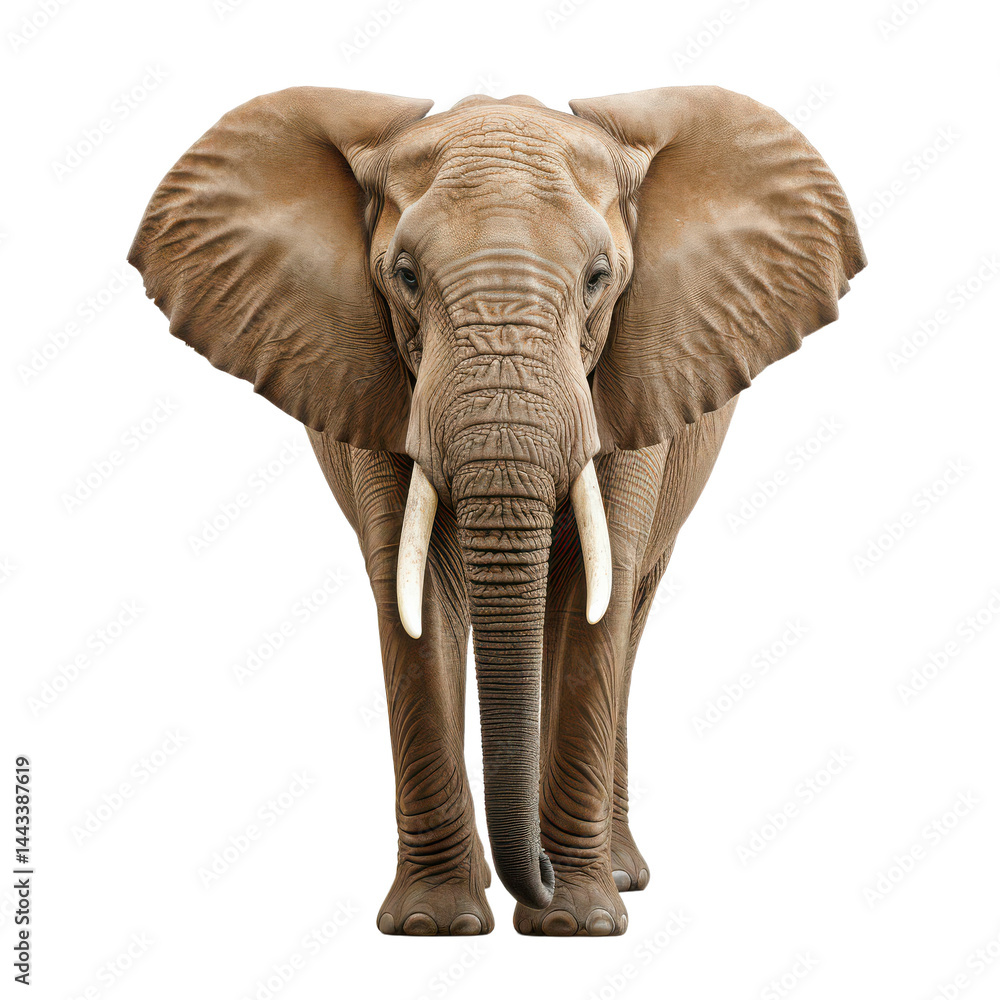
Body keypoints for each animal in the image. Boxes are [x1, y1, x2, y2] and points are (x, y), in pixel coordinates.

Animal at [128, 84, 865, 937]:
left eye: (599, 278)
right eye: (405, 276)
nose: (534, 876)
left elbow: (592, 604)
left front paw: (576, 924)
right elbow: (416, 597)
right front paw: (436, 923)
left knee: (627, 610)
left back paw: (618, 872)